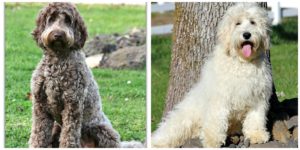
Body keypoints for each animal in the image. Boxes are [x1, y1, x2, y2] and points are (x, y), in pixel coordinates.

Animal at [152, 2, 272, 148]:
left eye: (253, 22)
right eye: (237, 23)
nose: (247, 34)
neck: (242, 62)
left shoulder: (258, 97)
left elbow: (256, 118)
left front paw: (257, 135)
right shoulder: (219, 98)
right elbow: (216, 120)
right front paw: (212, 140)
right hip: (181, 121)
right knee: (167, 134)